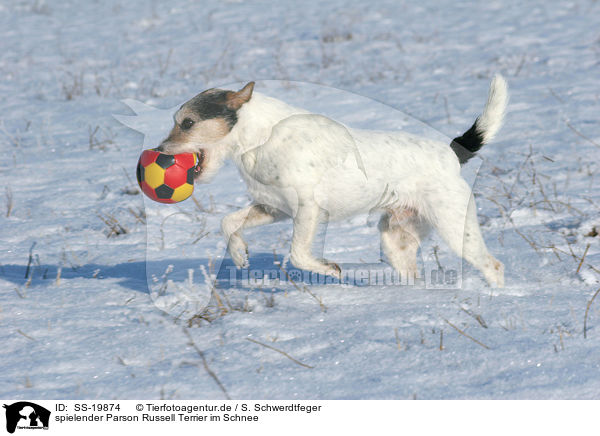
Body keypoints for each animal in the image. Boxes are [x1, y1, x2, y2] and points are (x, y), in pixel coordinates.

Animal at [158, 76, 506, 288]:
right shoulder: (273, 208)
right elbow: (228, 223)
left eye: (188, 123)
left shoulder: (308, 210)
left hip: (455, 228)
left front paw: (328, 269)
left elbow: (298, 254)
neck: (260, 138)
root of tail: (450, 153)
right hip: (396, 239)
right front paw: (239, 253)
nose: (159, 152)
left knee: (493, 266)